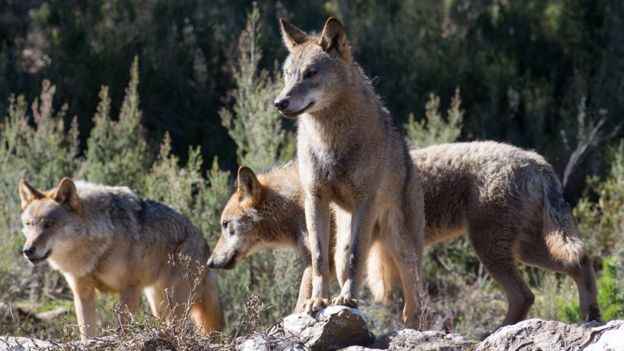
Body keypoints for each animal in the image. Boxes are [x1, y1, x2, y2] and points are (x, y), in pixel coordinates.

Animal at [18, 179, 223, 340]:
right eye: (28, 224)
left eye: (49, 224)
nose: (28, 251)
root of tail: (204, 242)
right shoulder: (83, 293)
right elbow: (87, 333)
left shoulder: (130, 289)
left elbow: (122, 329)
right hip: (158, 303)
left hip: (174, 304)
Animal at [208, 142, 600, 328]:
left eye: (226, 226)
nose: (210, 262)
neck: (298, 200)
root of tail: (538, 161)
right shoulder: (320, 262)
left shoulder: (324, 261)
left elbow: (303, 300)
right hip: (525, 250)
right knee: (580, 262)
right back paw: (591, 314)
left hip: (493, 250)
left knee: (525, 294)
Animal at [274, 17, 428, 330]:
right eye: (287, 74)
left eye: (310, 73)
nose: (279, 103)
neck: (330, 141)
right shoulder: (315, 199)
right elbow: (319, 259)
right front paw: (318, 301)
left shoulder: (364, 200)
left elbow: (356, 257)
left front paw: (347, 299)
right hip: (345, 234)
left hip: (403, 249)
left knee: (413, 306)